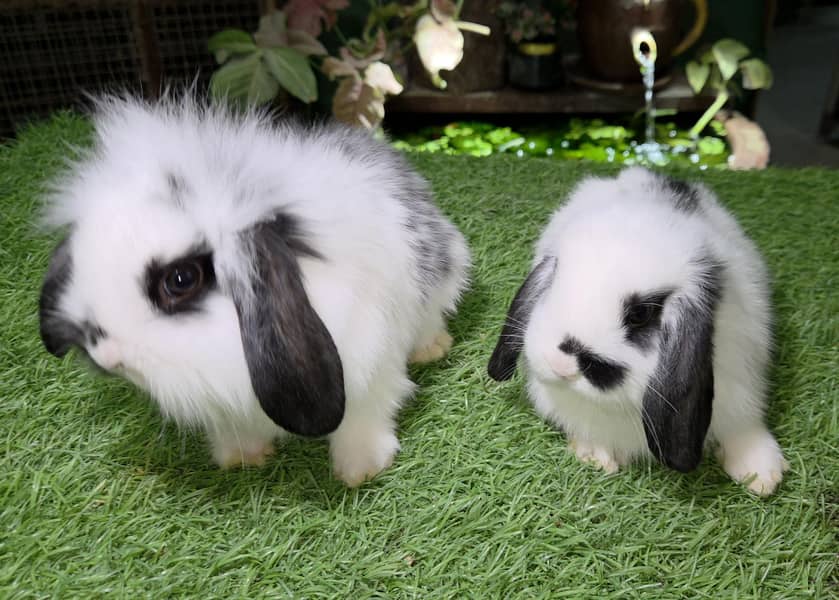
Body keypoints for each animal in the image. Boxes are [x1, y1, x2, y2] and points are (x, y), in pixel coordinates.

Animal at [38, 95, 471, 486]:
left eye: (181, 280)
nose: (109, 357)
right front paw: (241, 458)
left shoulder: (373, 369)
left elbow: (365, 418)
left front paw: (360, 470)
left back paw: (432, 348)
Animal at [487, 167, 787, 496]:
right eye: (553, 282)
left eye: (640, 315)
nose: (561, 365)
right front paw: (597, 455)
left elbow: (742, 428)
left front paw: (761, 474)